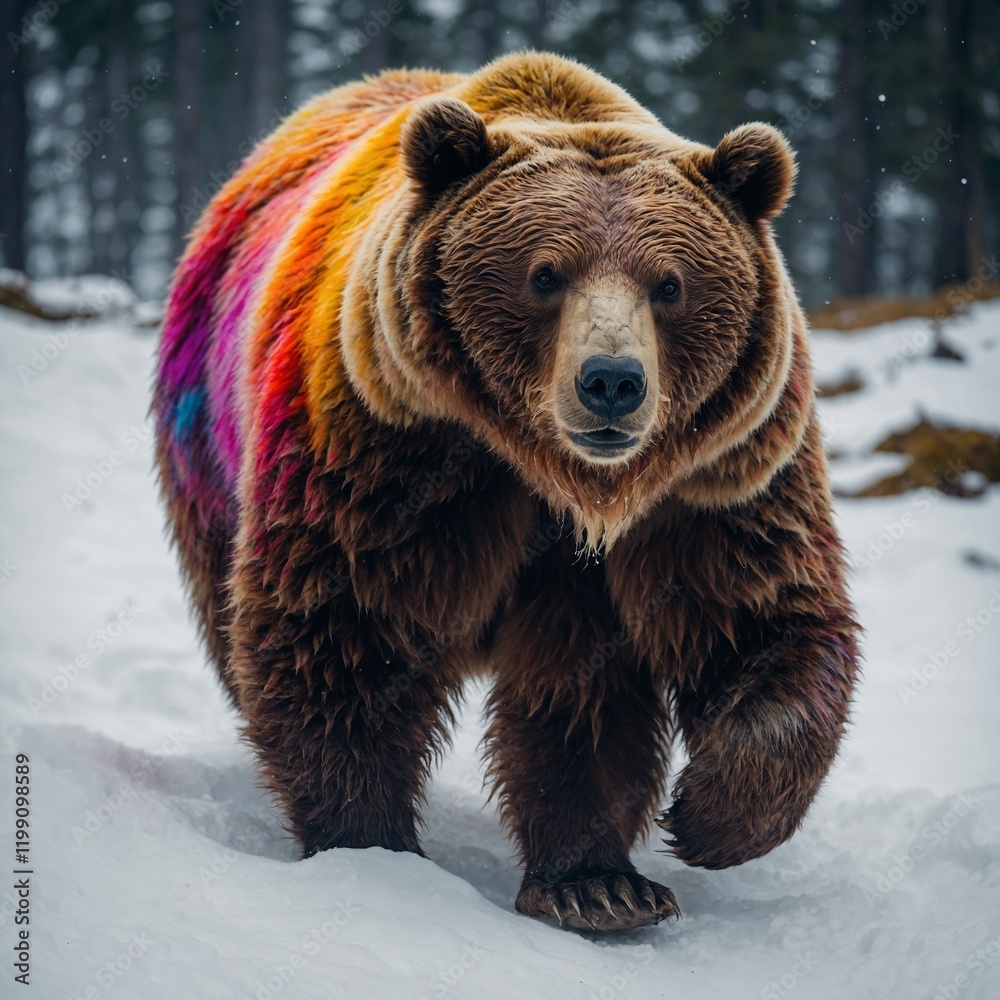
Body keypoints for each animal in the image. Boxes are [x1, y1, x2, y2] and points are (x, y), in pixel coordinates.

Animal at [154, 51, 860, 932]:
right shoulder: (395, 449)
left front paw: (691, 828)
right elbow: (346, 624)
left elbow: (755, 622)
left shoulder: (716, 483)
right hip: (210, 443)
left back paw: (598, 883)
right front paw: (368, 844)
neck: (565, 482)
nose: (612, 382)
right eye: (545, 275)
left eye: (670, 285)